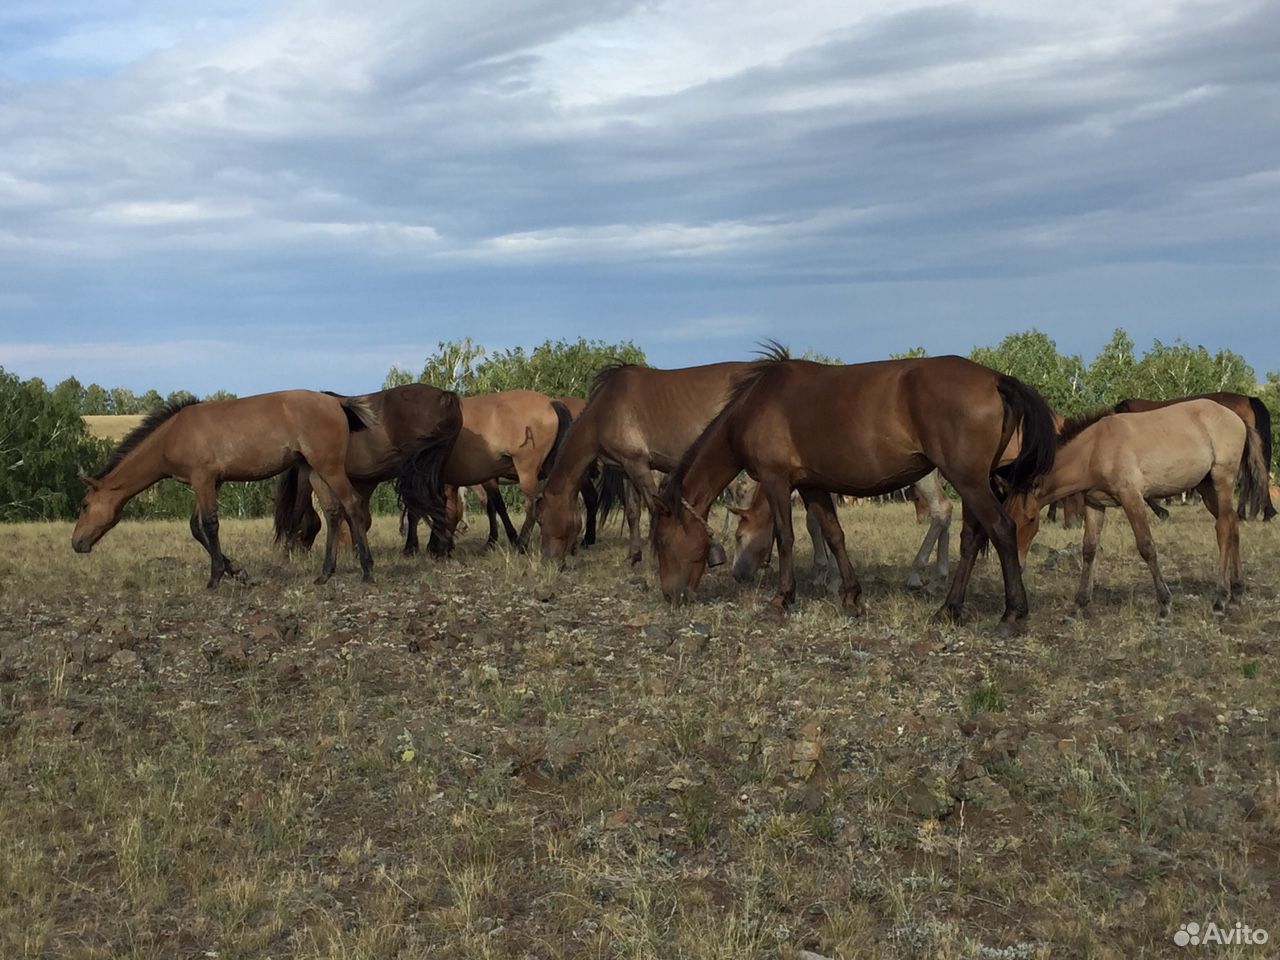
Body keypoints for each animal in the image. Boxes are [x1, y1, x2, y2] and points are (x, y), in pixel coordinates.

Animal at [74, 389, 378, 586]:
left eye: (85, 504)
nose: (76, 543)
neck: (173, 434)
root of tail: (337, 402)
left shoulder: (203, 479)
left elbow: (209, 525)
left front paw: (216, 576)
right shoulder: (209, 483)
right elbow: (196, 528)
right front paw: (236, 571)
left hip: (329, 468)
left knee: (352, 505)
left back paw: (367, 570)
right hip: (314, 472)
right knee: (333, 512)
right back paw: (325, 574)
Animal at [532, 363, 747, 568]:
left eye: (541, 520)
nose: (547, 561)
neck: (606, 410)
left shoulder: (639, 466)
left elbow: (653, 508)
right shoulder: (626, 468)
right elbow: (632, 512)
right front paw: (634, 556)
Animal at [650, 353, 1059, 632]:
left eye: (664, 542)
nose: (671, 595)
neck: (758, 405)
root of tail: (996, 379)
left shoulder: (777, 479)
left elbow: (786, 537)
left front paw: (783, 597)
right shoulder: (813, 485)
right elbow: (833, 534)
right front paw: (850, 595)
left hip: (969, 482)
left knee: (1001, 530)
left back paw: (1011, 614)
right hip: (973, 482)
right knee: (972, 537)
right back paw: (949, 608)